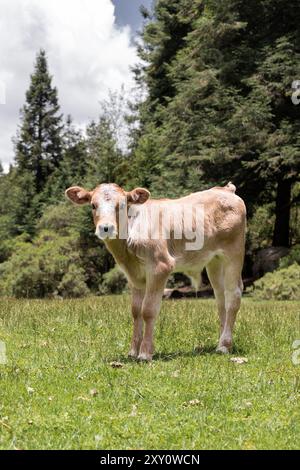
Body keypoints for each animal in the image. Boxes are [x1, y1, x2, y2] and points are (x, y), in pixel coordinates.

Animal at [65, 183, 246, 360]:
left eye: (121, 205)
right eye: (93, 205)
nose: (106, 228)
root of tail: (225, 189)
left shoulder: (160, 267)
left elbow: (148, 310)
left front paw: (145, 353)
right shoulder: (134, 275)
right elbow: (136, 310)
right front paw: (133, 351)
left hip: (234, 253)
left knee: (233, 296)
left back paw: (224, 346)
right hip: (214, 261)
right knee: (221, 298)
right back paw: (221, 342)